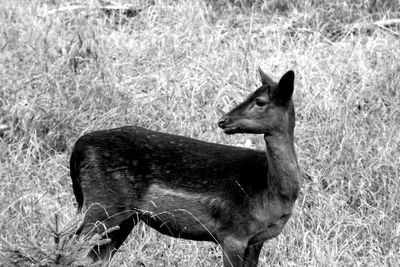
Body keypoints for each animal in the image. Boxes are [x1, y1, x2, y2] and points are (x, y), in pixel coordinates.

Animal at [69, 68, 300, 266]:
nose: (223, 121)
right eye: (251, 96)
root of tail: (79, 147)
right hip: (102, 205)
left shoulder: (257, 239)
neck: (270, 190)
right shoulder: (233, 234)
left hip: (125, 218)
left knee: (95, 258)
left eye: (259, 100)